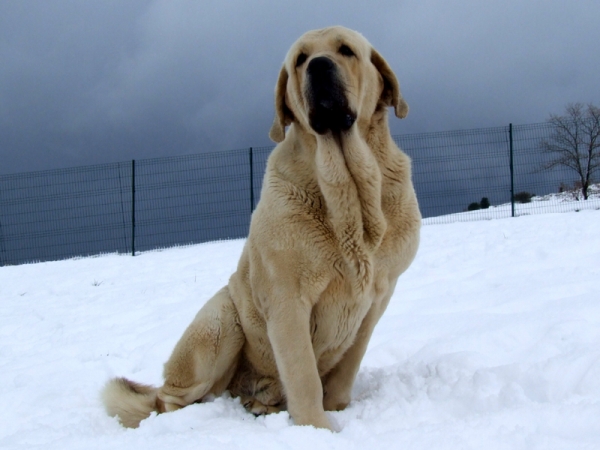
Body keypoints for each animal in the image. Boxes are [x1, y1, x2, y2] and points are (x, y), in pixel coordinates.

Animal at [103, 25, 420, 432]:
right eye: (301, 59)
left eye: (346, 50)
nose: (318, 66)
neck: (348, 195)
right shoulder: (288, 299)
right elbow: (302, 373)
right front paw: (317, 429)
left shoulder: (377, 298)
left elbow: (345, 371)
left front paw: (335, 410)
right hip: (221, 320)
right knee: (169, 399)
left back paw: (260, 405)